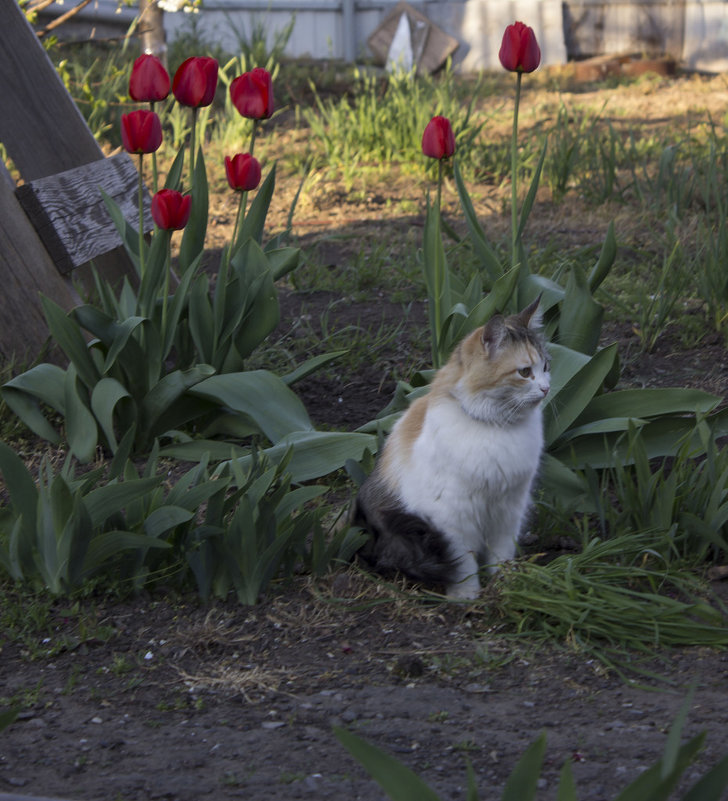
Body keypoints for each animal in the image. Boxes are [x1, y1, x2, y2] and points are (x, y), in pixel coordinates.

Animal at [354, 300, 552, 600]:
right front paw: (465, 597)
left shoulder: (509, 510)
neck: (497, 428)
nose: (546, 388)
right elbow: (463, 564)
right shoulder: (452, 517)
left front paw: (505, 586)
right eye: (525, 372)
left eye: (545, 366)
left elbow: (501, 556)